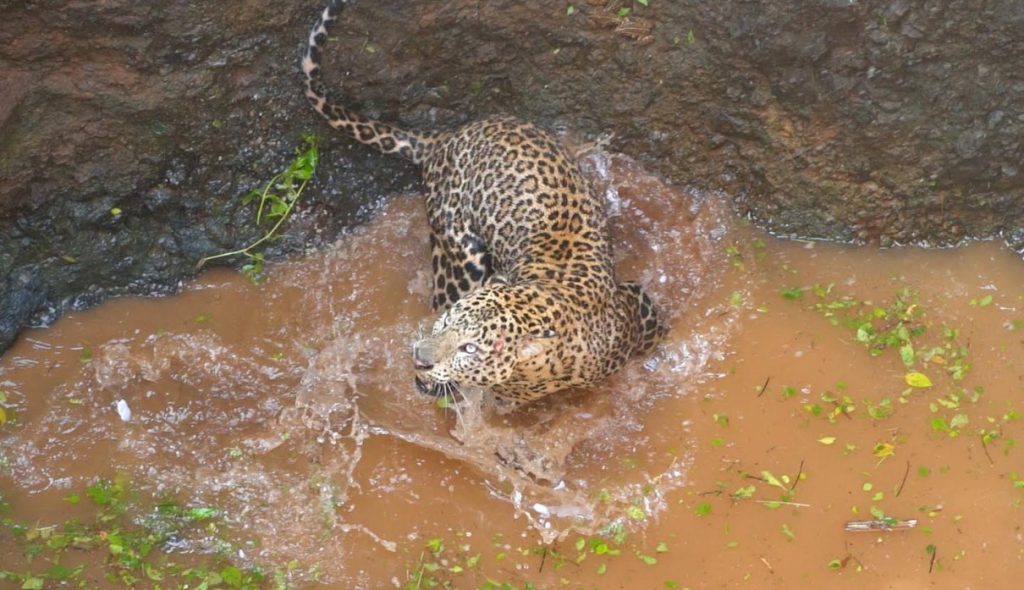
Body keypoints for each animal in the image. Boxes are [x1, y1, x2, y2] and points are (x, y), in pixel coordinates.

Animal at [303, 0, 666, 405]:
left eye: (470, 349)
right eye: (447, 324)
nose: (420, 357)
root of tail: (445, 138)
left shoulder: (638, 305)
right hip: (459, 259)